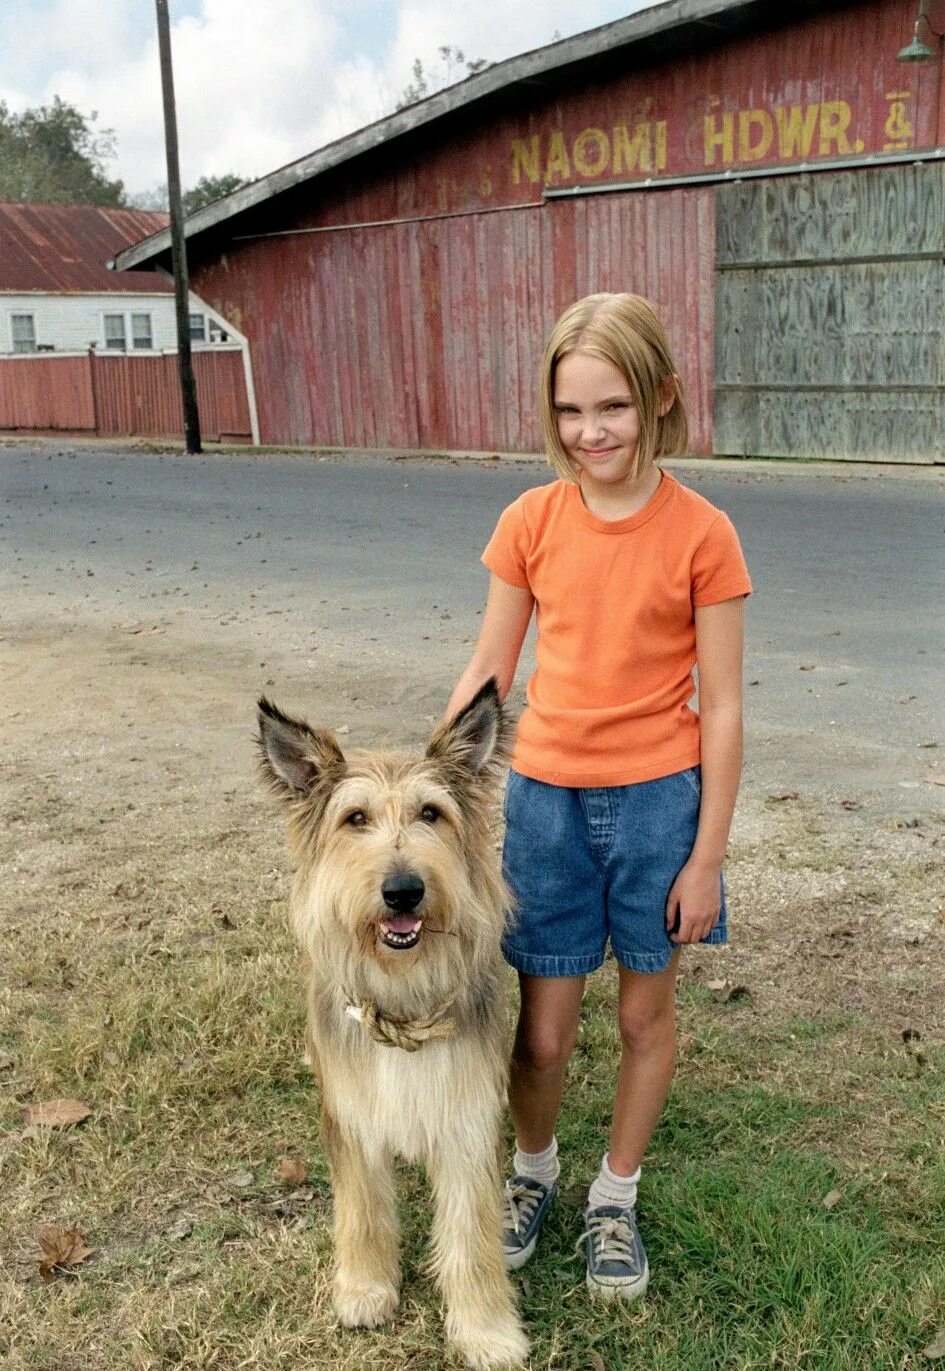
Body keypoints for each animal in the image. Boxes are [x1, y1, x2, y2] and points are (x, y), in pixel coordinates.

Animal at [253, 685, 526, 1371]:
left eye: (431, 813)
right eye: (355, 819)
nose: (404, 890)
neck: (403, 999)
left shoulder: (464, 1118)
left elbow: (470, 1232)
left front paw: (486, 1330)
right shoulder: (353, 1117)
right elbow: (364, 1211)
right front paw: (365, 1289)